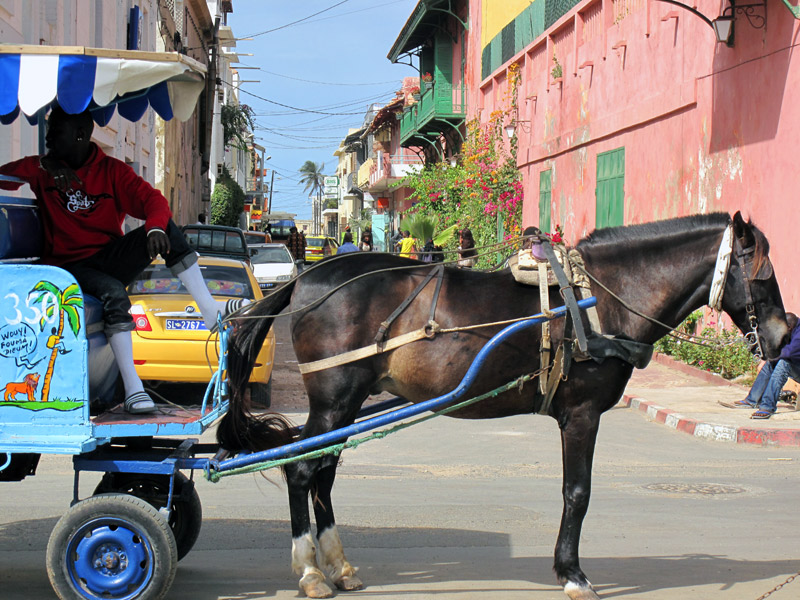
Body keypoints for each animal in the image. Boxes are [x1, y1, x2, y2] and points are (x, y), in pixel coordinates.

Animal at [216, 213, 792, 600]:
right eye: (762, 272)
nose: (784, 336)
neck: (599, 299)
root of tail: (304, 280)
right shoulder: (581, 414)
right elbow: (577, 493)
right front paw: (573, 574)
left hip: (346, 405)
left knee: (323, 474)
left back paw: (337, 565)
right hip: (335, 399)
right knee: (301, 471)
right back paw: (311, 571)